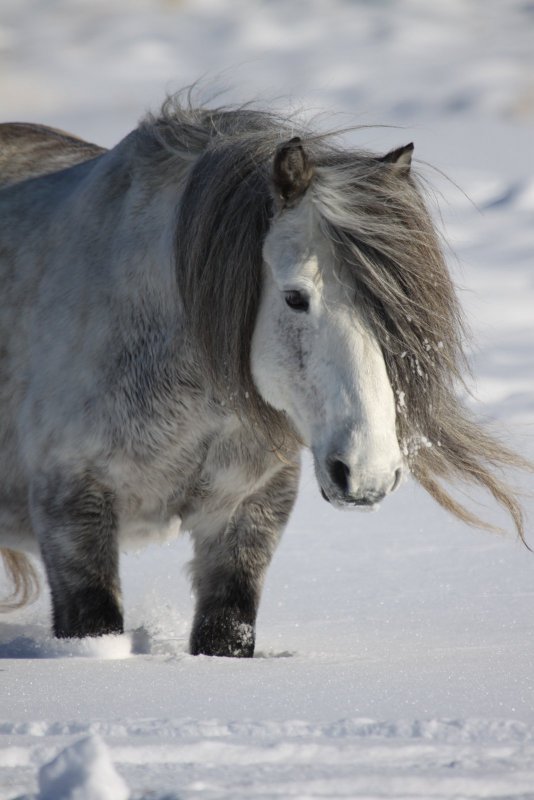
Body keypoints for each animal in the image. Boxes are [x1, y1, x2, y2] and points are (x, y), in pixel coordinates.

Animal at [0, 99, 529, 657]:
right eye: (295, 296)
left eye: (398, 312)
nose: (367, 474)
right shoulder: (71, 511)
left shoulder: (249, 511)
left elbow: (227, 630)